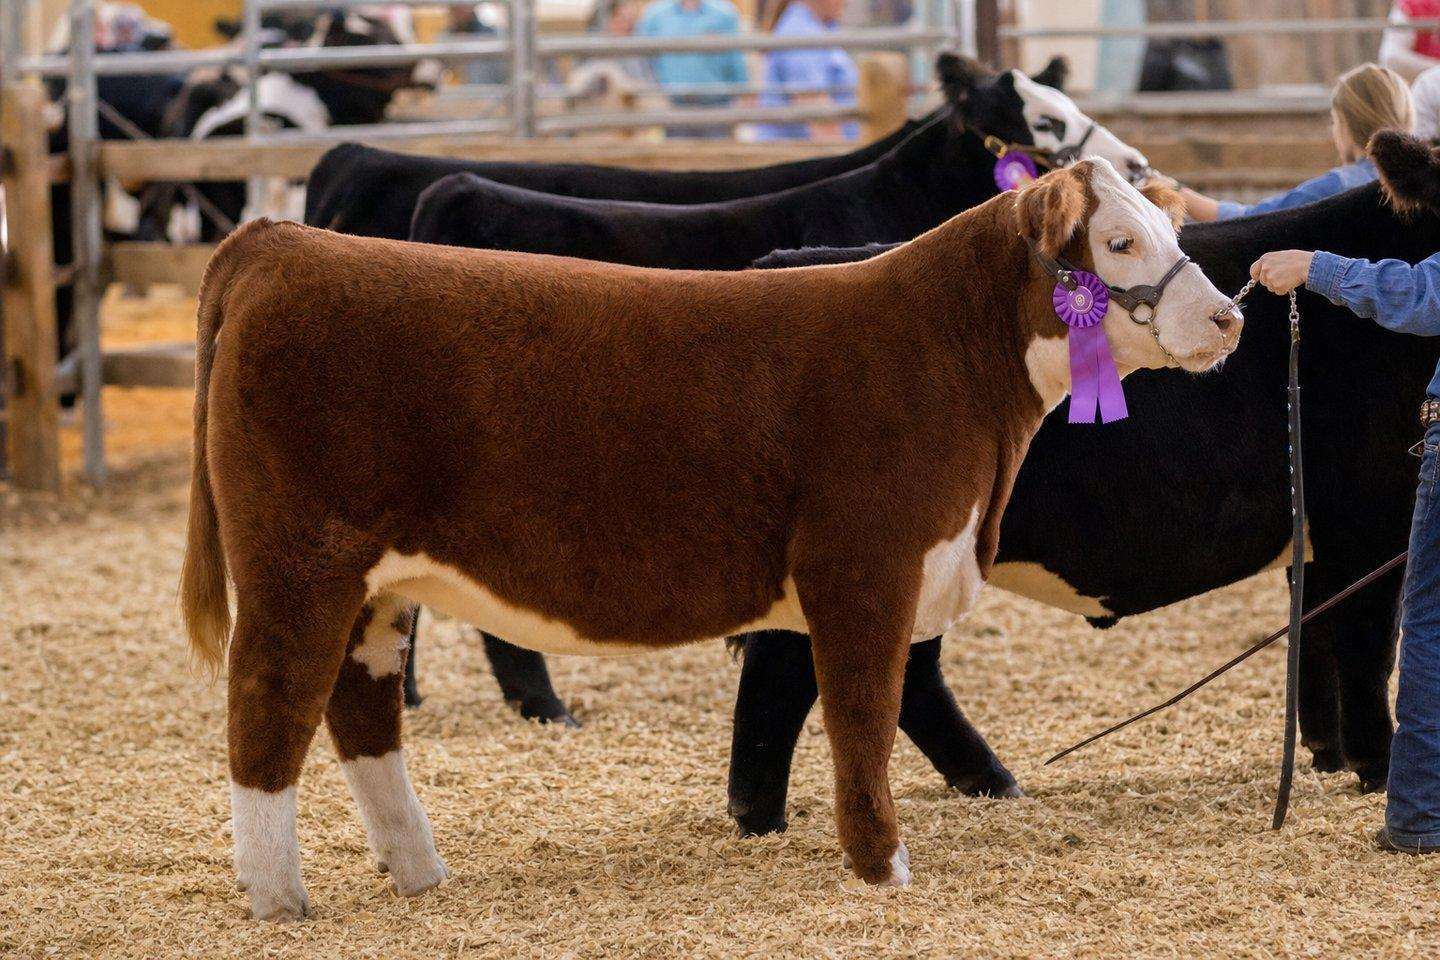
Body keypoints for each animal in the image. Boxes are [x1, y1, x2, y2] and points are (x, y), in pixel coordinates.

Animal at [181, 161, 1238, 919]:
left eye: (1173, 230)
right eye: (1118, 240)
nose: (1228, 315)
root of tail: (280, 243)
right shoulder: (865, 566)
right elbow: (862, 716)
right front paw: (883, 868)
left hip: (374, 587)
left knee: (361, 712)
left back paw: (418, 872)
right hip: (299, 564)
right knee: (267, 706)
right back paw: (279, 899)